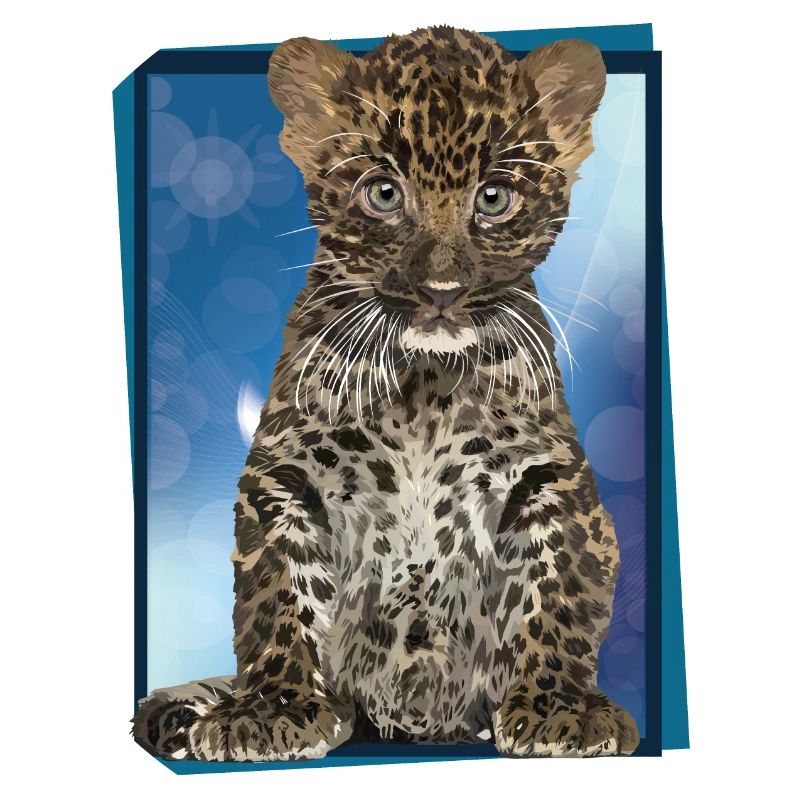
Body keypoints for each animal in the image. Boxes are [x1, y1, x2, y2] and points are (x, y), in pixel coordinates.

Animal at [133, 25, 640, 761]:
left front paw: (561, 709)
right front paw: (270, 709)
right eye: (382, 193)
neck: (423, 385)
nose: (441, 290)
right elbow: (277, 593)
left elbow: (561, 588)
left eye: (494, 198)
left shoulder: (549, 476)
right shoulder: (286, 475)